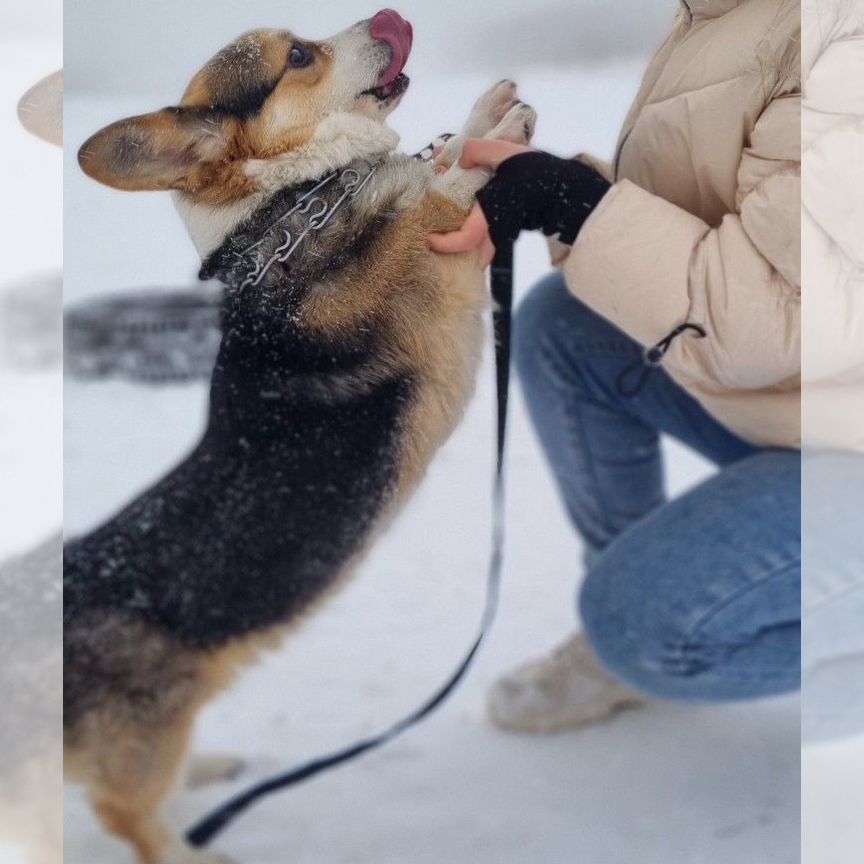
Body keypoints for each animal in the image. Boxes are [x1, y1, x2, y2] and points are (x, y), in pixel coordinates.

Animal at [66, 8, 532, 864]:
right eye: (298, 57)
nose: (391, 15)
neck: (285, 208)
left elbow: (439, 155)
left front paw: (483, 115)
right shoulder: (424, 258)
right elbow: (435, 197)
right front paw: (492, 141)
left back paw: (208, 769)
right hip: (143, 746)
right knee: (130, 817)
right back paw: (194, 848)